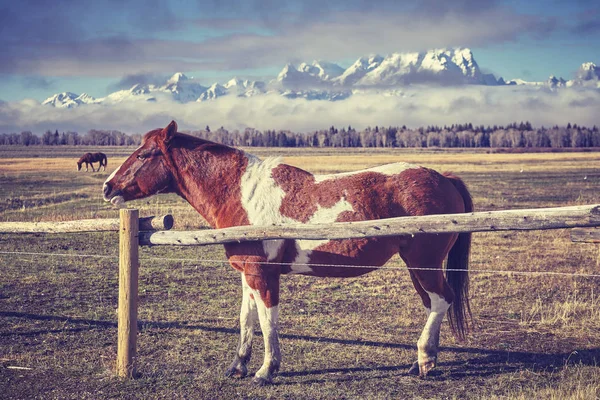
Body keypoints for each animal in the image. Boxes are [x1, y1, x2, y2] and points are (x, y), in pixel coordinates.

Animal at [102, 121, 474, 384]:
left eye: (143, 155)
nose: (108, 187)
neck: (243, 195)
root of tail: (444, 178)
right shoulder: (248, 275)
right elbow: (246, 320)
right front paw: (238, 366)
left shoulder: (264, 275)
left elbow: (269, 322)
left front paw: (266, 371)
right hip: (417, 267)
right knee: (433, 304)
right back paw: (421, 362)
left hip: (424, 264)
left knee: (441, 300)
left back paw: (424, 361)